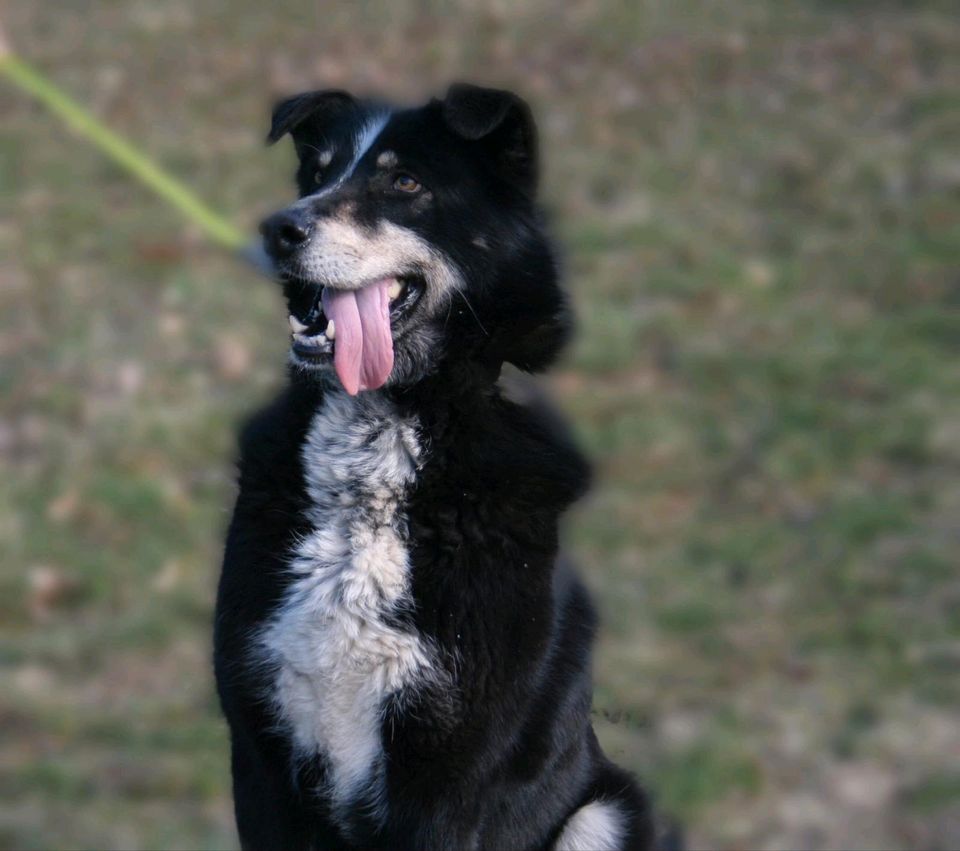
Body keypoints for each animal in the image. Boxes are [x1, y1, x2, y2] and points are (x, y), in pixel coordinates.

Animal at [214, 81, 656, 851]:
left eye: (405, 183)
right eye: (317, 173)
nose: (278, 230)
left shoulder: (447, 779)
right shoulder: (261, 757)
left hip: (607, 809)